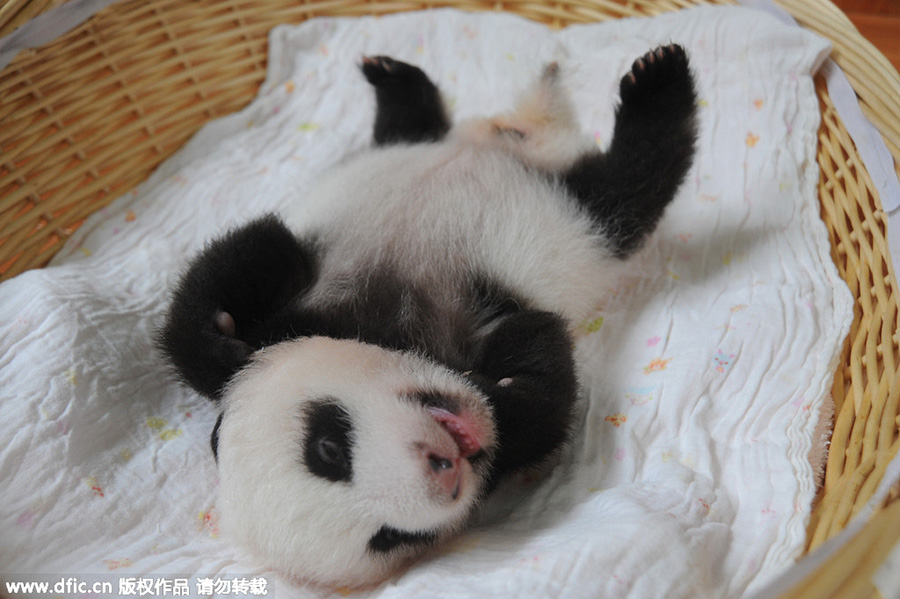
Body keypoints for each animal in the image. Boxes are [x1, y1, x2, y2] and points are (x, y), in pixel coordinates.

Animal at [159, 46, 698, 587]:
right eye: (390, 537)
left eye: (328, 447)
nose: (445, 464)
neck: (388, 333)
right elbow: (538, 387)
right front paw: (504, 398)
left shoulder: (302, 295)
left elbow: (243, 267)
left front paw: (220, 336)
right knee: (619, 189)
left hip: (557, 209)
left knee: (629, 186)